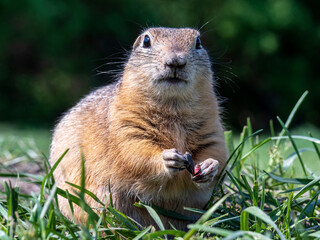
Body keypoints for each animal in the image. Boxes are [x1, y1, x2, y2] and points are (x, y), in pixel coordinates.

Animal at [50, 27, 228, 230]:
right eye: (146, 41)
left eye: (198, 43)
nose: (175, 61)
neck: (173, 106)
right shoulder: (126, 128)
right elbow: (136, 154)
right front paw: (168, 158)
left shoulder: (212, 130)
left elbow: (217, 152)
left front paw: (209, 166)